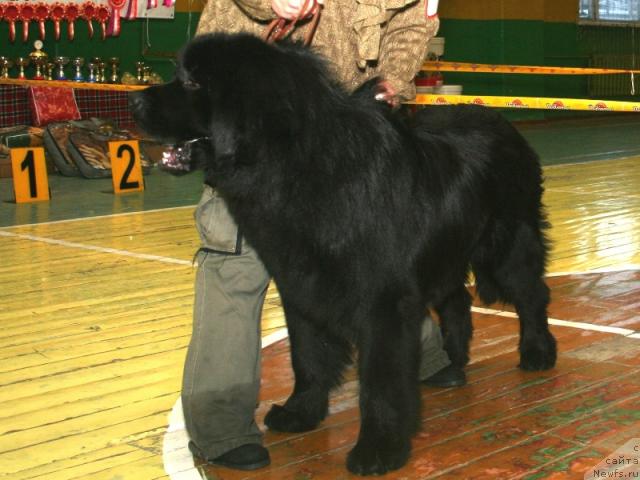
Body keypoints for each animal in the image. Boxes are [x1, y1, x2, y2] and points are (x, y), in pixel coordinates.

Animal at [130, 34, 556, 476]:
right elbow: (307, 357)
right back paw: (453, 360)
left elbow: (380, 381)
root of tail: (504, 125)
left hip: (506, 248)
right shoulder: (302, 284)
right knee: (458, 301)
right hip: (445, 255)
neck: (299, 166)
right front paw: (301, 412)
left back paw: (537, 352)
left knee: (531, 295)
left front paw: (378, 449)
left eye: (193, 83)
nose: (134, 101)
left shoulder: (383, 302)